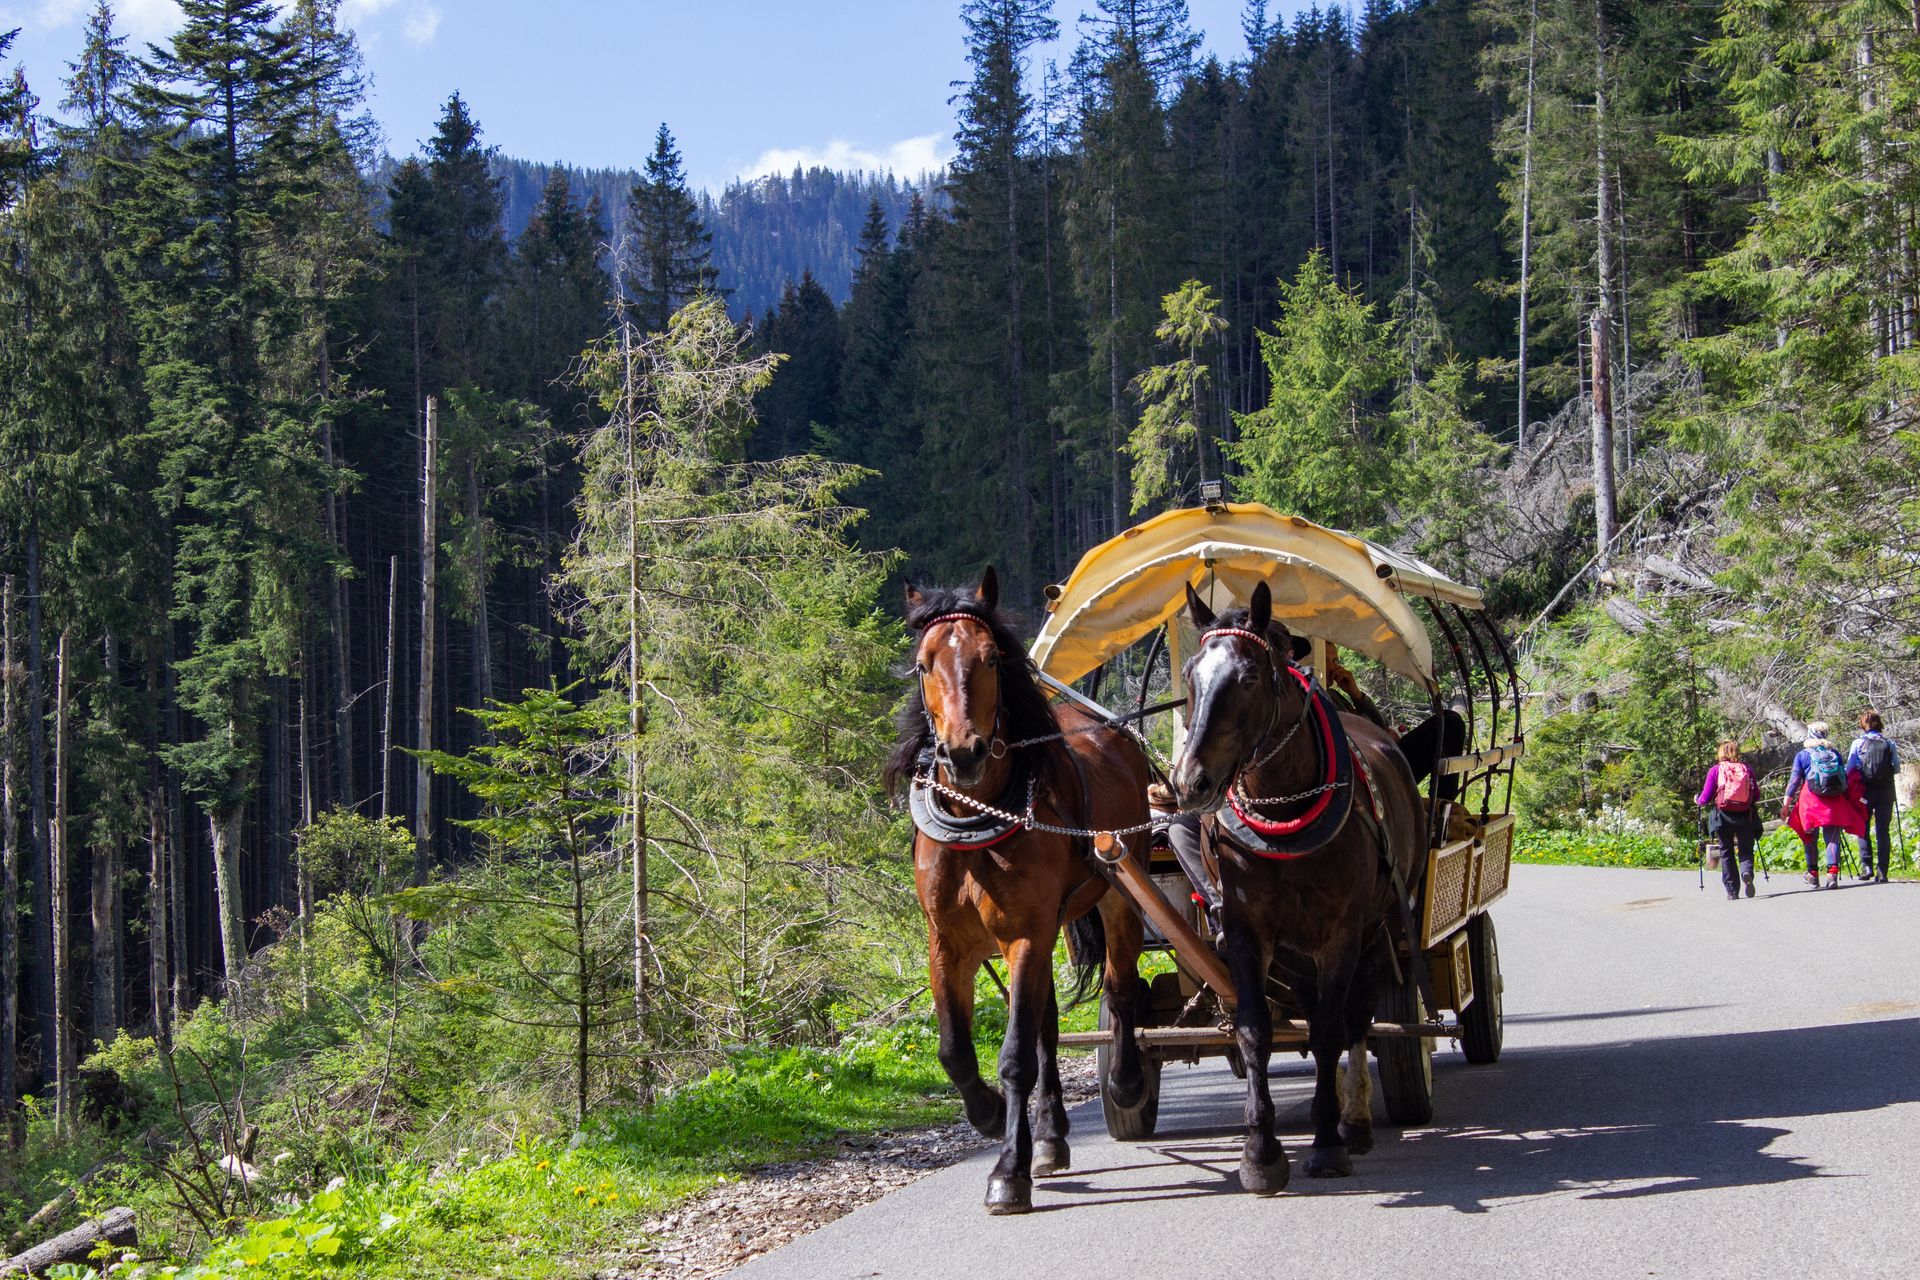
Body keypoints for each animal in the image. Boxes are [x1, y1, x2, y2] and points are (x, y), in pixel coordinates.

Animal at [887, 568, 1152, 1212]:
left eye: (989, 658)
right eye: (924, 663)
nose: (963, 752)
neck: (975, 822)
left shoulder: (1025, 935)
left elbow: (1012, 1058)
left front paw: (1009, 1170)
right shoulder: (948, 944)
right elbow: (957, 1050)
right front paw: (986, 1115)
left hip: (1119, 894)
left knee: (1122, 988)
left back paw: (1127, 1081)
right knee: (1047, 1026)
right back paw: (1052, 1138)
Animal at [1159, 587, 1436, 1197]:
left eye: (1250, 678)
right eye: (1189, 675)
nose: (1190, 783)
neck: (1282, 812)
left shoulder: (1340, 935)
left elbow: (1333, 1030)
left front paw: (1327, 1143)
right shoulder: (1247, 932)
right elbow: (1256, 1031)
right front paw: (1260, 1153)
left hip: (1379, 926)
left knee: (1358, 1016)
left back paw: (1352, 1119)